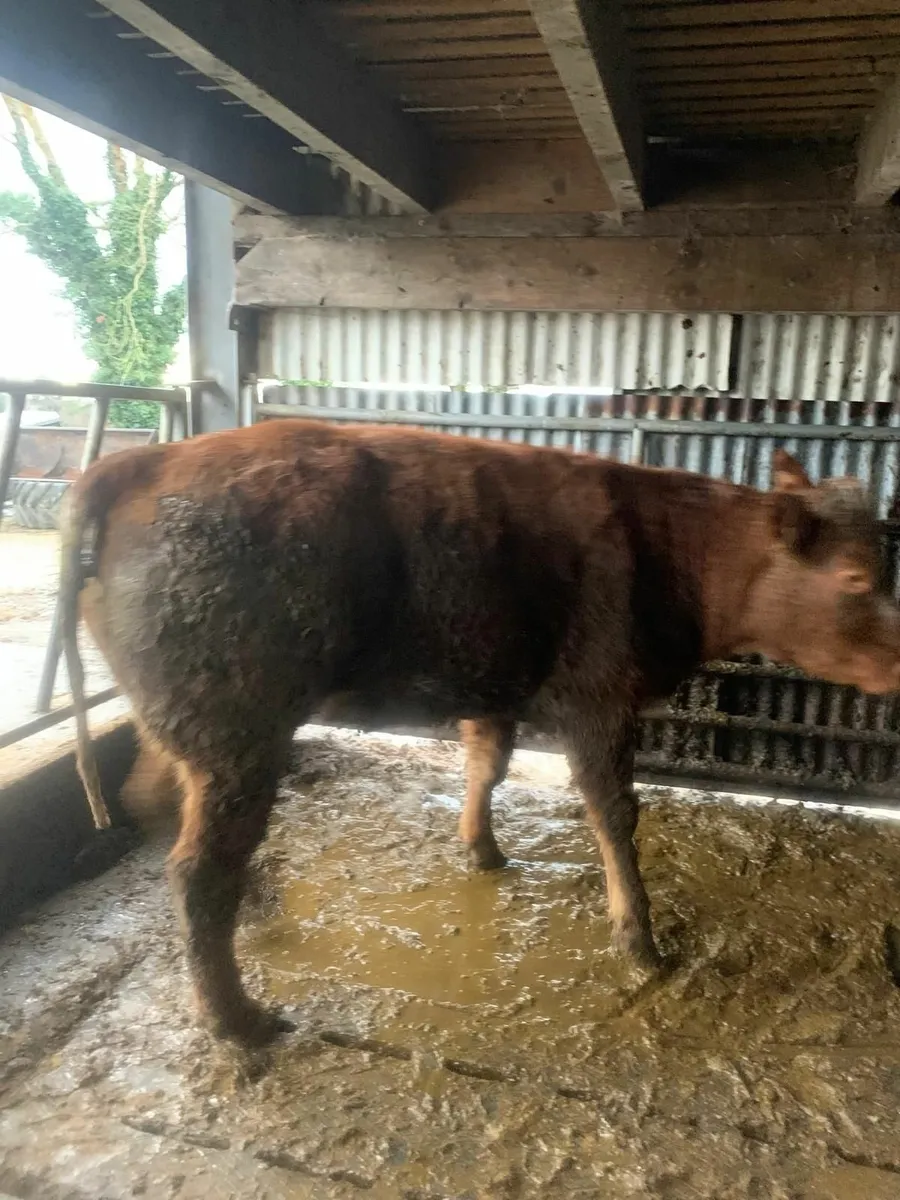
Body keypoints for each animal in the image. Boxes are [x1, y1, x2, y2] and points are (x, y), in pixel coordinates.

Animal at [60, 420, 900, 1045]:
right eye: (857, 579)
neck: (672, 544)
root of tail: (142, 460)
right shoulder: (599, 696)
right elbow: (613, 812)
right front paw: (638, 939)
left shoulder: (495, 684)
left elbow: (485, 764)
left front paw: (482, 851)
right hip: (239, 733)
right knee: (199, 868)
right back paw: (238, 1020)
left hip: (188, 728)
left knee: (154, 805)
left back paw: (258, 907)